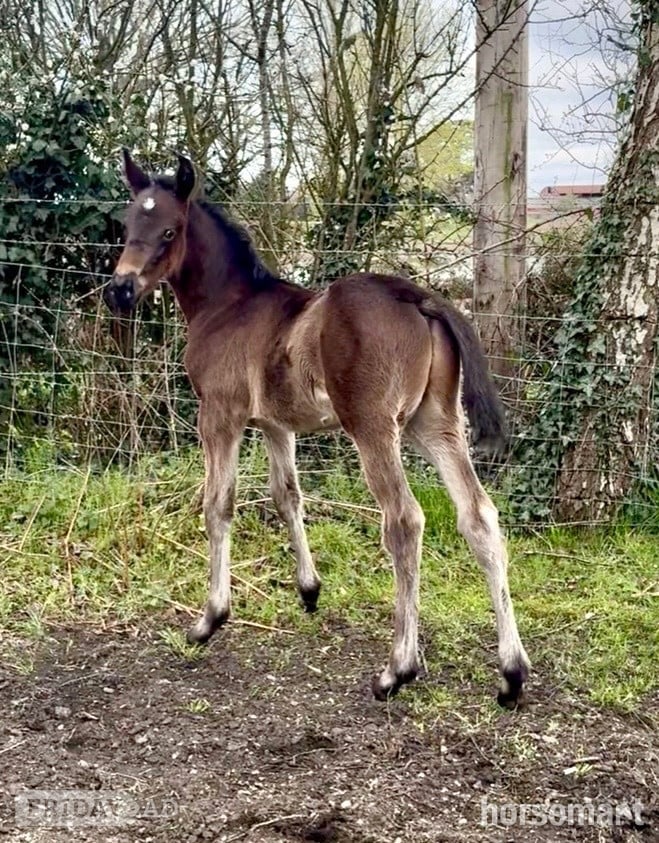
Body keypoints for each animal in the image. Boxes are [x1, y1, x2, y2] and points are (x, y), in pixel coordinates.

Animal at [103, 150, 530, 706]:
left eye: (170, 231)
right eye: (128, 224)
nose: (120, 290)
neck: (229, 305)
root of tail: (415, 296)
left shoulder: (219, 414)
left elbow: (218, 505)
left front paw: (210, 618)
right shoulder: (275, 425)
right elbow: (287, 496)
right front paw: (309, 590)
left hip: (373, 427)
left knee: (404, 521)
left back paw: (397, 669)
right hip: (435, 425)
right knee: (479, 516)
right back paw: (511, 673)